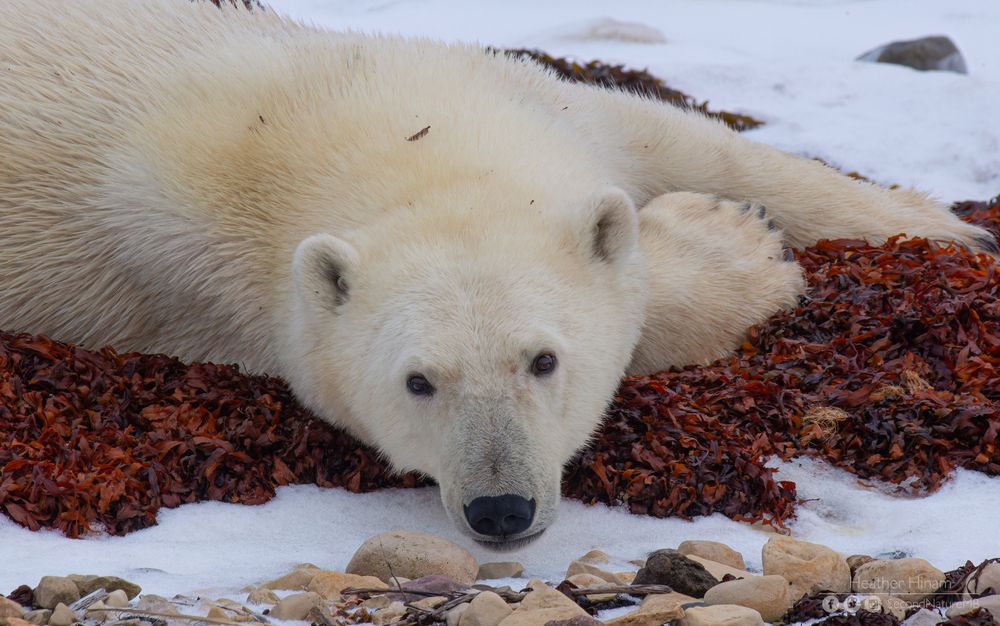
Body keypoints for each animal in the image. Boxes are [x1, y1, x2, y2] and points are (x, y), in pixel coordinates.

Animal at [0, 0, 993, 546]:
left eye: (542, 360)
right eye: (418, 381)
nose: (501, 510)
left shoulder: (499, 88)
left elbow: (671, 134)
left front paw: (939, 228)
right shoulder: (206, 290)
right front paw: (738, 245)